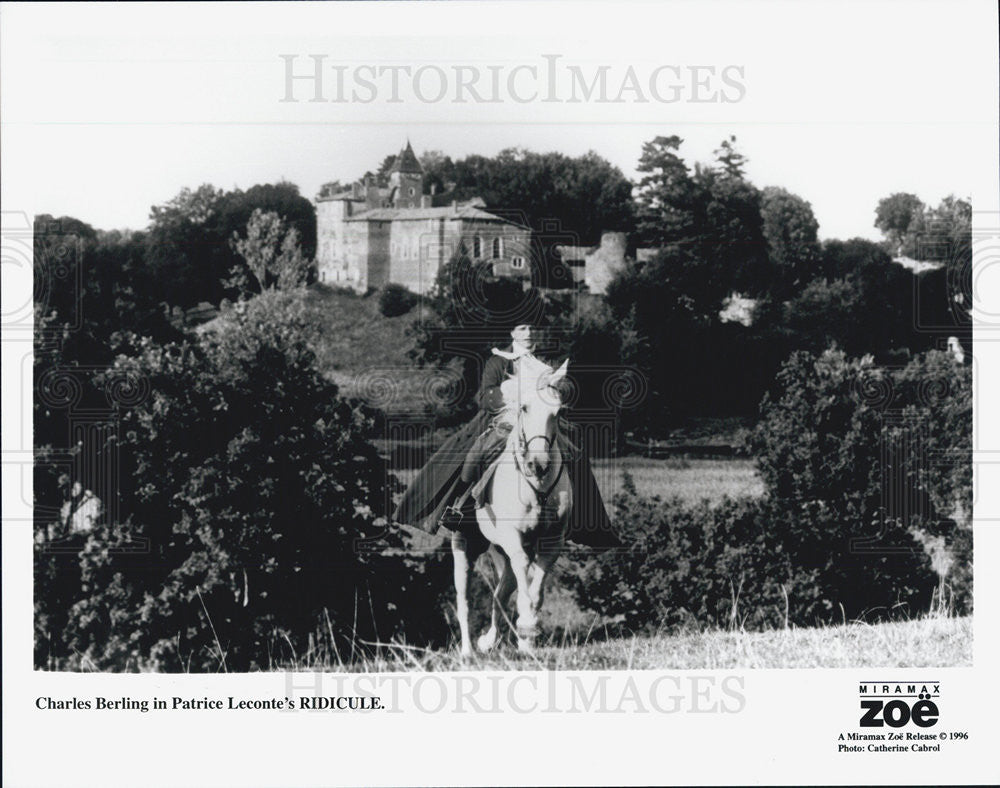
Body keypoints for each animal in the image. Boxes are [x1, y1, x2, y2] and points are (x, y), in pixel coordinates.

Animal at [452, 358, 572, 652]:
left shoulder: (553, 541)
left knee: (499, 595)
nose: (537, 464)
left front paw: (527, 638)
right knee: (464, 602)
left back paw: (490, 640)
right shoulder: (512, 538)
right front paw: (527, 625)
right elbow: (524, 579)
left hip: (498, 553)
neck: (538, 487)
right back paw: (468, 651)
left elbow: (536, 590)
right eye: (524, 407)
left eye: (557, 412)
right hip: (464, 546)